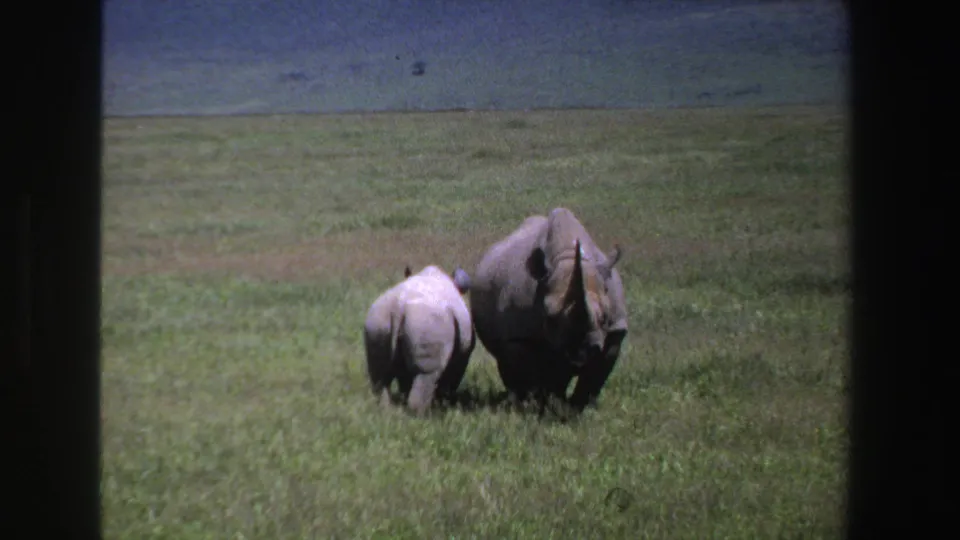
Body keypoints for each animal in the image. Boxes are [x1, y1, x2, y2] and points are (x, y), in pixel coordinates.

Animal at [363, 264, 476, 415]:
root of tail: (398, 305)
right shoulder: (461, 357)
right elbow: (452, 376)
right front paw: (444, 402)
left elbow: (405, 377)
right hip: (427, 321)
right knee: (426, 374)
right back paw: (422, 415)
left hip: (378, 319)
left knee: (379, 373)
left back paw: (384, 409)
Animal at [470, 208, 628, 412]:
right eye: (549, 317)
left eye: (604, 318)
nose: (582, 349)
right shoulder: (519, 335)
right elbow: (531, 373)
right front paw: (536, 407)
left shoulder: (616, 330)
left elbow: (594, 378)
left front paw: (579, 409)